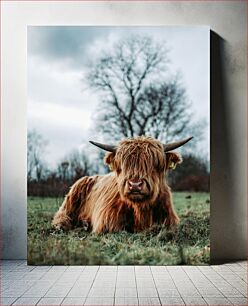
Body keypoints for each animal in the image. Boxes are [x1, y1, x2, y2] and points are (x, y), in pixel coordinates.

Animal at [51, 135, 192, 233]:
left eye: (154, 164)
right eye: (124, 165)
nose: (135, 185)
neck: (140, 210)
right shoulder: (107, 222)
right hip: (72, 196)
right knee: (62, 213)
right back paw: (63, 225)